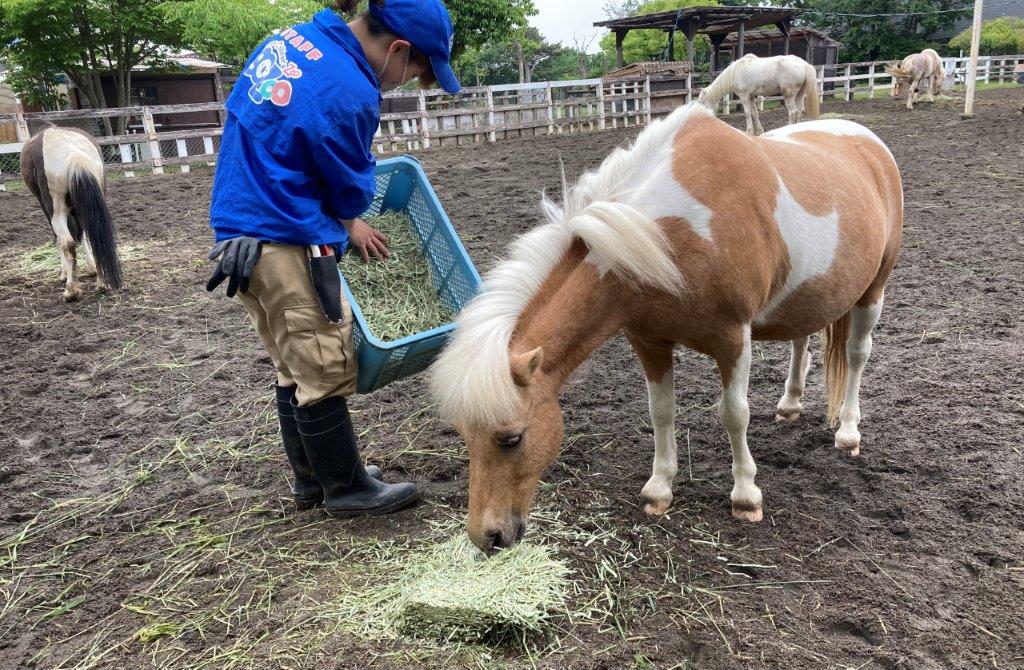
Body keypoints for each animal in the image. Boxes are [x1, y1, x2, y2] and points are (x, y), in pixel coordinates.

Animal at [432, 103, 905, 557]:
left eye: (511, 439)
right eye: (465, 436)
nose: (487, 537)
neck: (669, 233)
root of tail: (869, 143)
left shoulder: (733, 340)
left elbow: (734, 414)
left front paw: (746, 496)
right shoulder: (649, 341)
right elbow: (661, 411)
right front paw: (659, 490)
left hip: (873, 291)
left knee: (858, 354)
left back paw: (848, 431)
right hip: (807, 296)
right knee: (801, 339)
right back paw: (789, 404)